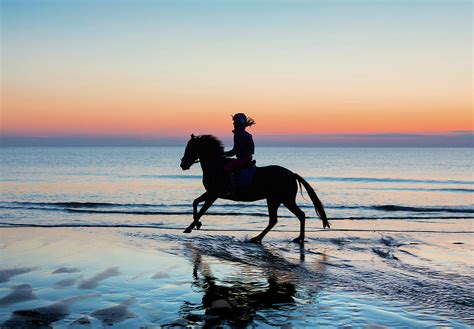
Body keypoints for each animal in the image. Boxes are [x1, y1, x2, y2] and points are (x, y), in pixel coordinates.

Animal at [180, 132, 332, 242]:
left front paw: (190, 227)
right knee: (280, 219)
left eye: (191, 148)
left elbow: (202, 210)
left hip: (281, 200)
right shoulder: (211, 192)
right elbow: (195, 202)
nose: (183, 165)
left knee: (295, 216)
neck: (216, 167)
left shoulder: (214, 194)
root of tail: (292, 174)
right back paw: (262, 238)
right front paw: (196, 224)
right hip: (277, 200)